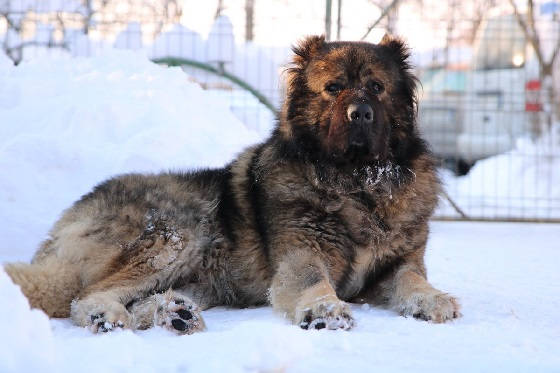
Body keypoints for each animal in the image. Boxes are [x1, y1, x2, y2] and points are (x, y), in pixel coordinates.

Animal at [4, 34, 460, 332]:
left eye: (377, 88)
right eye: (333, 88)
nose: (360, 113)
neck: (358, 185)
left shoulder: (398, 263)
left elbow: (413, 280)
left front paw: (433, 298)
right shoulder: (302, 255)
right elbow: (312, 281)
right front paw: (324, 310)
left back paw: (174, 314)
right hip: (177, 233)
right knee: (87, 296)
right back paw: (111, 316)